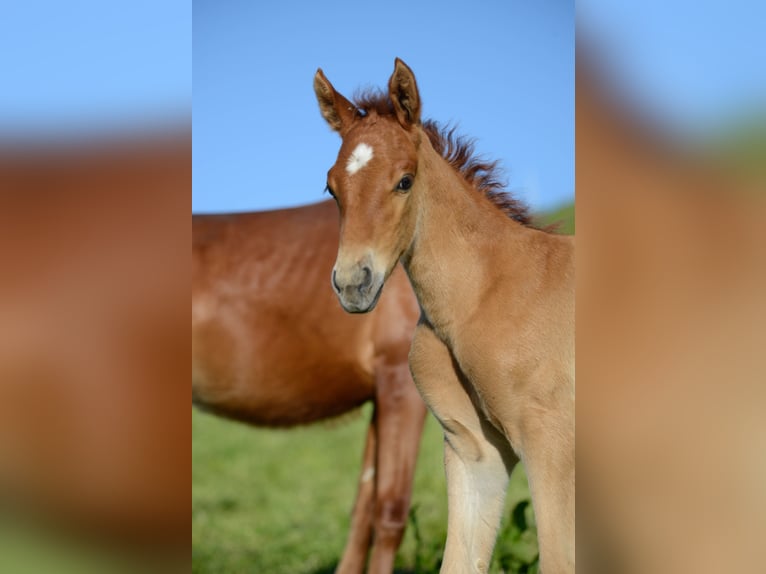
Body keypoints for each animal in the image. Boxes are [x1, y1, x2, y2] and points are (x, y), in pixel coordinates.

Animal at [314, 60, 576, 572]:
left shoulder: (551, 448)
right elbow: (459, 560)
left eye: (404, 180)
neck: (483, 297)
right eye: (331, 187)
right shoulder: (474, 451)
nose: (353, 284)